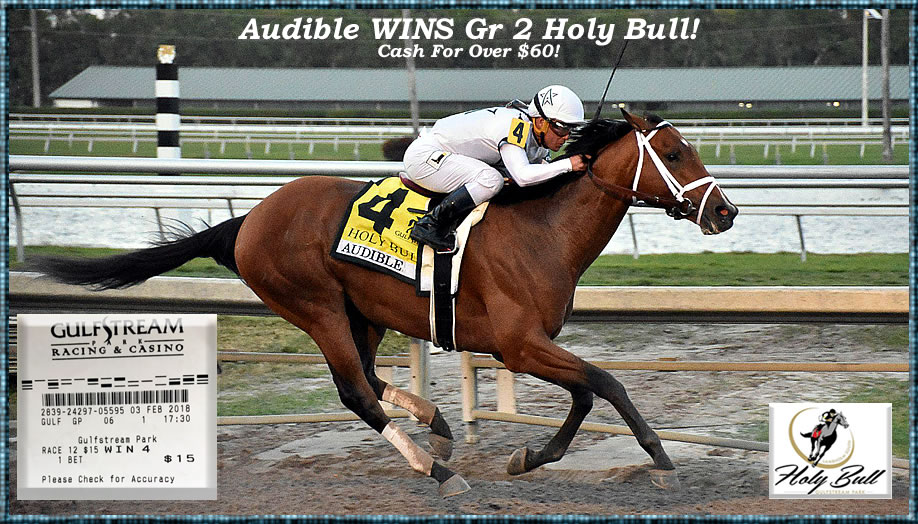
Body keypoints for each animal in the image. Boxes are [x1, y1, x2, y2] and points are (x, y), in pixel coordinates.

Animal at [32, 109, 738, 497]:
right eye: (674, 152)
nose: (726, 213)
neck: (544, 230)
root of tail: (249, 219)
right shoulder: (518, 345)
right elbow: (607, 385)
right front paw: (663, 461)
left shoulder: (530, 346)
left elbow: (588, 394)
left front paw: (528, 457)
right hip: (314, 306)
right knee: (354, 391)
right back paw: (438, 470)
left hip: (360, 313)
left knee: (369, 378)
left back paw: (438, 427)